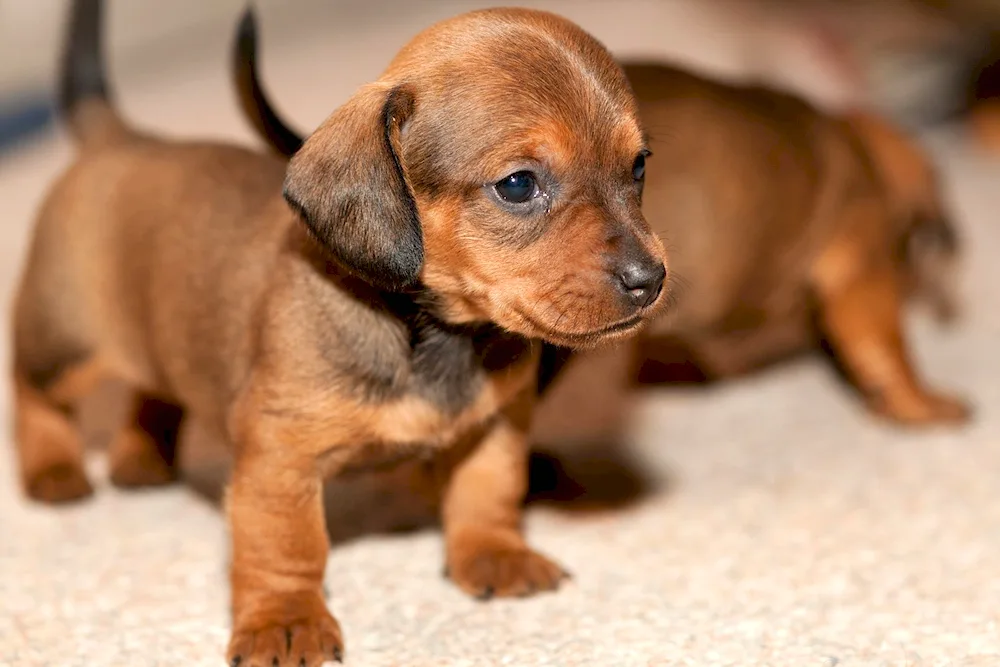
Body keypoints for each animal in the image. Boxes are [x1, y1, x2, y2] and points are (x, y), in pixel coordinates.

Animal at [11, 2, 668, 664]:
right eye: (518, 184)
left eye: (638, 166)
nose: (651, 279)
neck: (432, 334)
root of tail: (122, 139)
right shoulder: (280, 457)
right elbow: (288, 546)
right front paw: (285, 619)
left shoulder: (497, 420)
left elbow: (489, 489)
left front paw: (495, 554)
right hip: (62, 345)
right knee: (30, 390)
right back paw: (53, 469)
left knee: (155, 391)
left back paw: (141, 455)